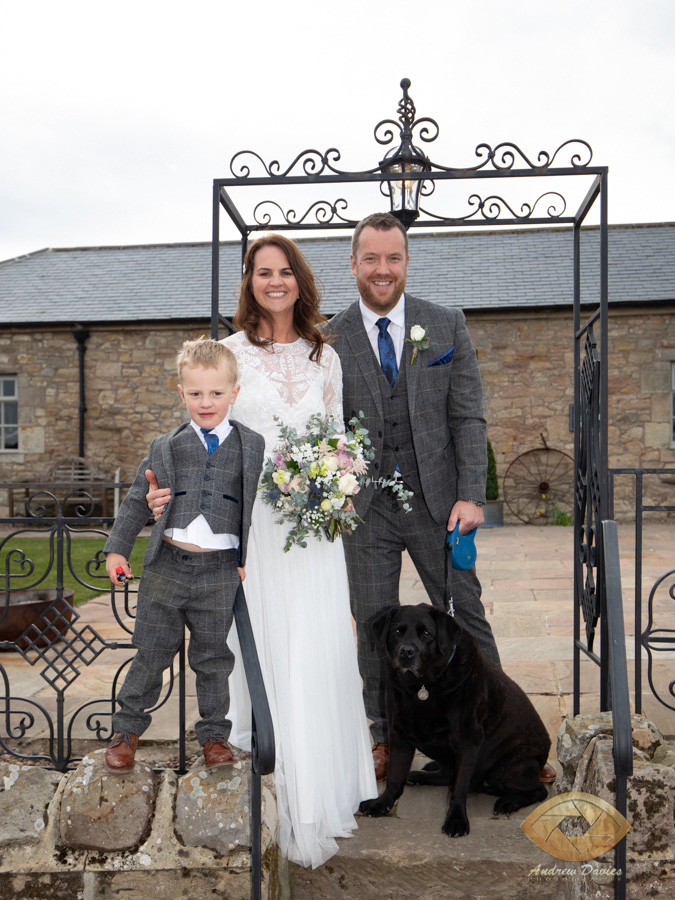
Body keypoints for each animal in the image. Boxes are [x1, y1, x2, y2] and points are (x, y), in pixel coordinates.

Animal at [360, 604, 548, 836]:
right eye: (397, 632)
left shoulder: (468, 739)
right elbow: (395, 776)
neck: (423, 686)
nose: (406, 652)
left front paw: (457, 820)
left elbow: (459, 788)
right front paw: (381, 804)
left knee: (539, 790)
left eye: (426, 633)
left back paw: (508, 802)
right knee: (447, 774)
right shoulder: (399, 732)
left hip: (507, 769)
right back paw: (420, 775)